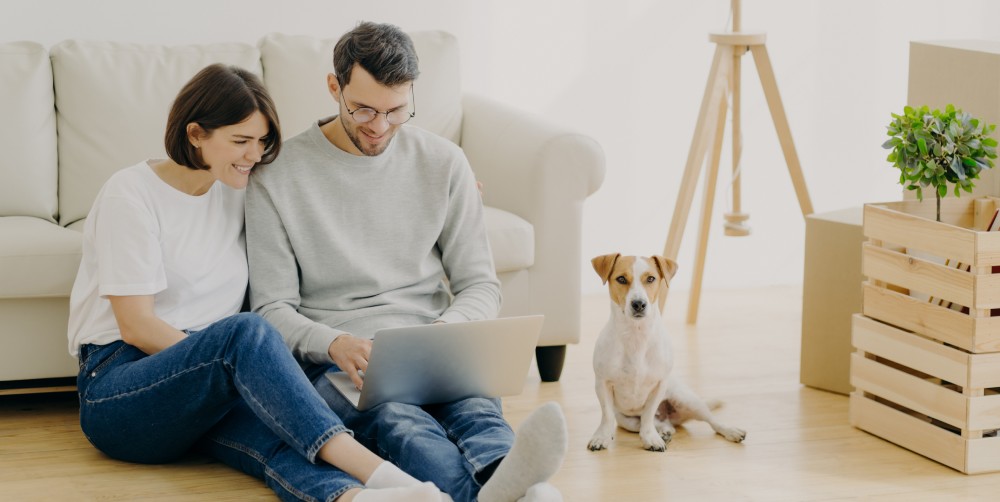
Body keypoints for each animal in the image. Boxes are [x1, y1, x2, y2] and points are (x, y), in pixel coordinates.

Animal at [584, 253, 744, 452]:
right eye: (621, 279)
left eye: (651, 279)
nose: (639, 304)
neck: (636, 336)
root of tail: (670, 417)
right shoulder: (602, 383)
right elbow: (607, 416)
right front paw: (602, 437)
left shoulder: (659, 385)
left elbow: (648, 414)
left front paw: (651, 438)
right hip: (628, 420)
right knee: (658, 424)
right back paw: (665, 432)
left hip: (687, 400)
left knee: (712, 421)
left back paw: (729, 430)